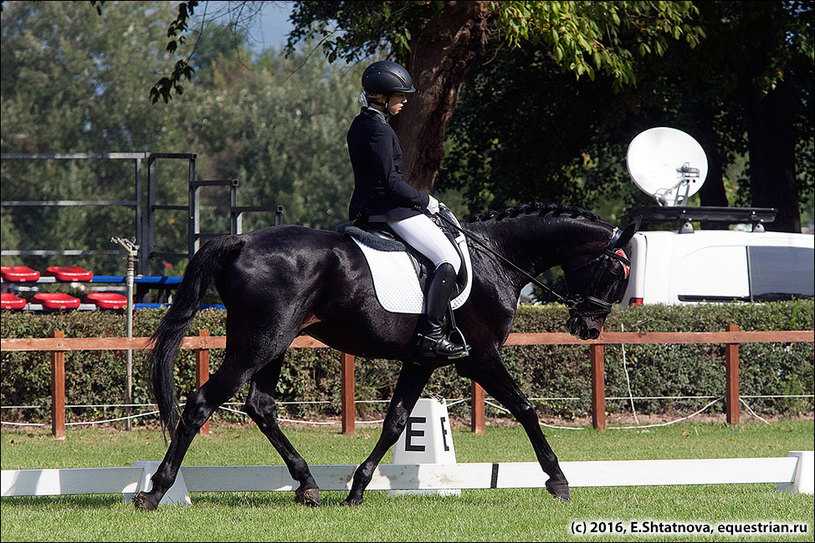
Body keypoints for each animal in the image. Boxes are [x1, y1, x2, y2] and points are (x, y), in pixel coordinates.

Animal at [135, 203, 636, 510]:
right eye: (615, 273)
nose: (589, 329)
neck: (496, 258)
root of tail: (241, 241)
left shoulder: (423, 359)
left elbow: (396, 421)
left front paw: (358, 487)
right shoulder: (480, 356)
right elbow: (525, 407)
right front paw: (558, 479)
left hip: (274, 344)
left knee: (260, 406)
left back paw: (309, 485)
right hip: (257, 344)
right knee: (202, 404)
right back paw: (155, 491)